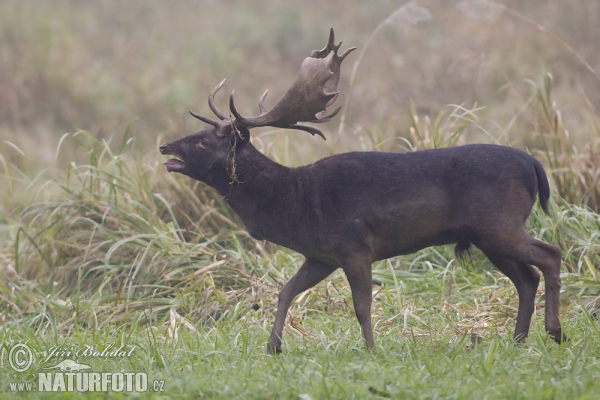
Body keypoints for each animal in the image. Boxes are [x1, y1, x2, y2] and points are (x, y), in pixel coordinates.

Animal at [159, 30, 568, 354]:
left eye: (202, 142)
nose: (165, 147)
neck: (293, 203)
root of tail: (533, 164)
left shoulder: (354, 246)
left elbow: (361, 306)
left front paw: (372, 349)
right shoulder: (320, 254)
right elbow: (286, 290)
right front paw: (273, 346)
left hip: (498, 223)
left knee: (550, 255)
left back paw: (555, 332)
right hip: (487, 235)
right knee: (526, 278)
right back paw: (519, 339)